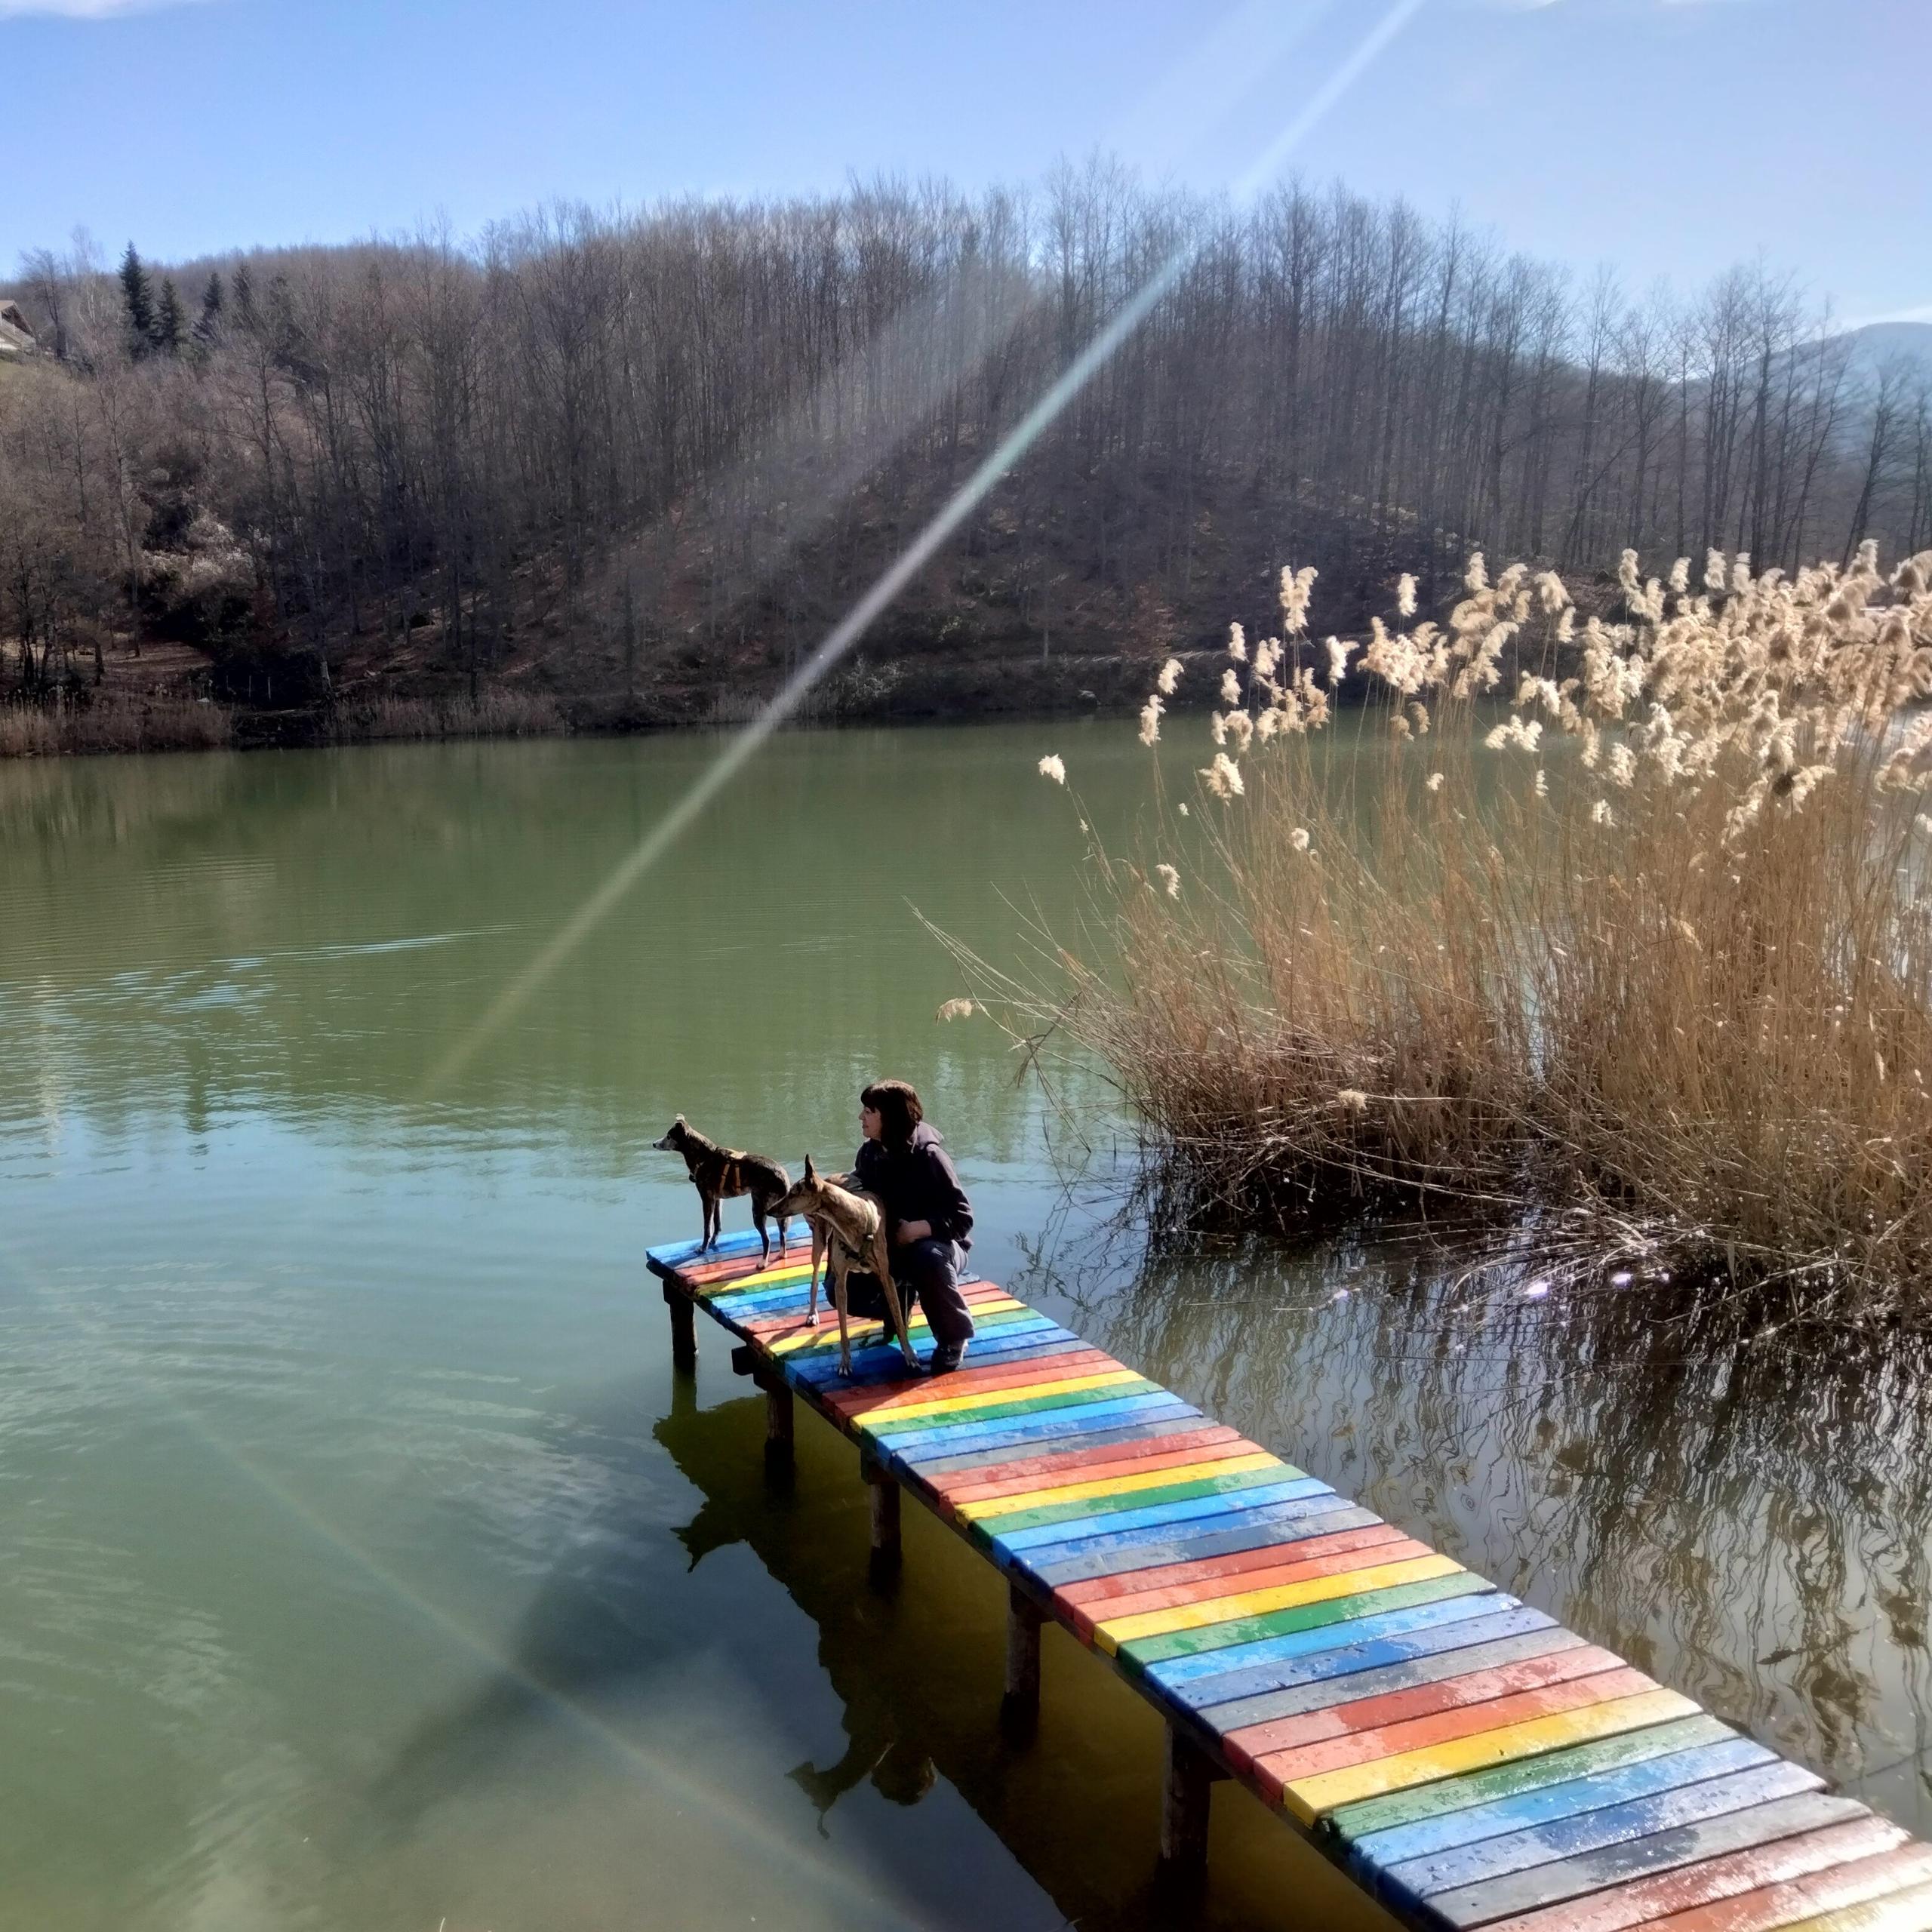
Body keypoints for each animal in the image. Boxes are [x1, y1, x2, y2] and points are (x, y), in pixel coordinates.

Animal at [657, 1120, 792, 1267]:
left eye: (669, 1136)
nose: (654, 1144)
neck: (704, 1157)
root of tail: (782, 1175)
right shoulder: (718, 1199)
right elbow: (717, 1224)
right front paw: (713, 1242)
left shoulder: (707, 1199)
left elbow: (707, 1229)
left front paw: (703, 1248)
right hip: (778, 1212)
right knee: (782, 1236)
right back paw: (781, 1255)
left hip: (758, 1210)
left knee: (767, 1239)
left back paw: (763, 1263)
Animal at [768, 1151, 919, 1383]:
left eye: (793, 1193)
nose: (769, 1210)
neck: (854, 1220)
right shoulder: (841, 1281)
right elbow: (843, 1331)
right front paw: (845, 1364)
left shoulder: (886, 1277)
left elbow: (898, 1320)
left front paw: (910, 1355)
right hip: (819, 1241)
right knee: (814, 1279)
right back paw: (812, 1314)